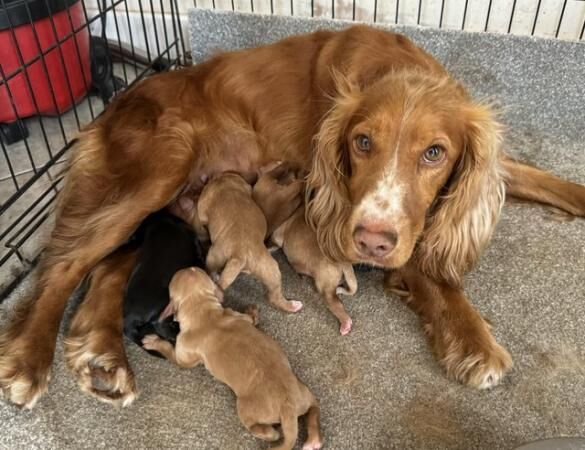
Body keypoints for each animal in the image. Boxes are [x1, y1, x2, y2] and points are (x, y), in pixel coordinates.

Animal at [143, 268, 322, 450]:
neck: (202, 309)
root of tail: (288, 409)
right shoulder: (233, 313)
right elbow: (250, 319)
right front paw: (252, 312)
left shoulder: (183, 358)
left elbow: (169, 351)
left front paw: (154, 342)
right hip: (305, 394)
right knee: (314, 411)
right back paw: (313, 440)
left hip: (244, 408)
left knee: (265, 430)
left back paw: (271, 432)